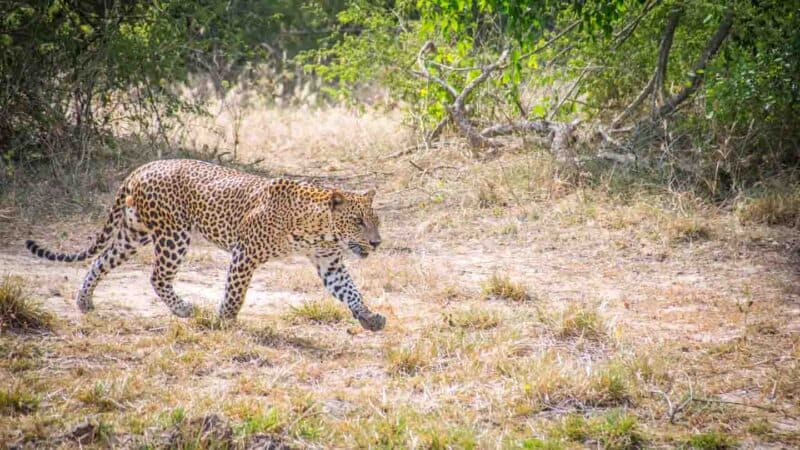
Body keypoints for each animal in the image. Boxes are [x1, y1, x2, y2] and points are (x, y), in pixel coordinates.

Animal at [25, 158, 388, 330]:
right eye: (358, 221)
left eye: (376, 221)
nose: (377, 242)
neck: (318, 230)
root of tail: (143, 166)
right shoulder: (245, 252)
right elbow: (235, 293)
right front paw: (224, 322)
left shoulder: (330, 263)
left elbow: (350, 291)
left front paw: (368, 317)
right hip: (173, 234)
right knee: (157, 276)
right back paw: (184, 308)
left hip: (133, 233)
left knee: (101, 260)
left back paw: (84, 302)